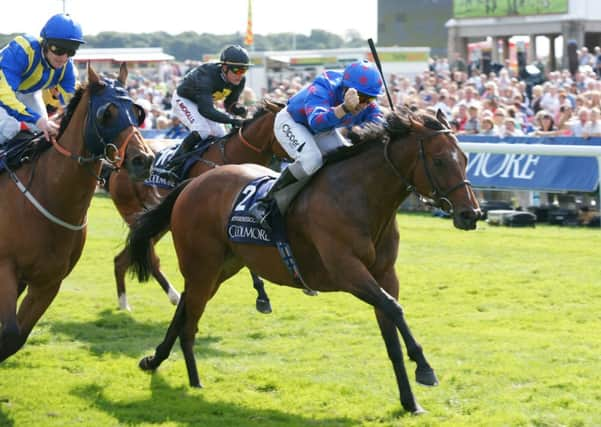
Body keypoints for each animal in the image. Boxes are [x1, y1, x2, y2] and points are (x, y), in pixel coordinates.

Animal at [0, 64, 155, 364]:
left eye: (137, 111)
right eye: (107, 113)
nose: (144, 160)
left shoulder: (48, 282)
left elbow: (15, 337)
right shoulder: (4, 268)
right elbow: (10, 333)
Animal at [104, 99, 288, 310]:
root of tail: (117, 166)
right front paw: (262, 296)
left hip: (155, 222)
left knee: (123, 259)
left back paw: (124, 302)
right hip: (135, 212)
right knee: (149, 259)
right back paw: (173, 296)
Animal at [125, 108, 478, 414]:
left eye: (464, 158)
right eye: (439, 160)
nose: (470, 214)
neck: (360, 196)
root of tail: (193, 183)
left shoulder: (385, 275)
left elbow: (391, 330)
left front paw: (410, 402)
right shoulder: (347, 271)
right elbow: (395, 308)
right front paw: (425, 367)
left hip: (221, 267)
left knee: (185, 306)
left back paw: (155, 361)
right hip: (202, 264)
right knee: (190, 319)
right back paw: (194, 380)